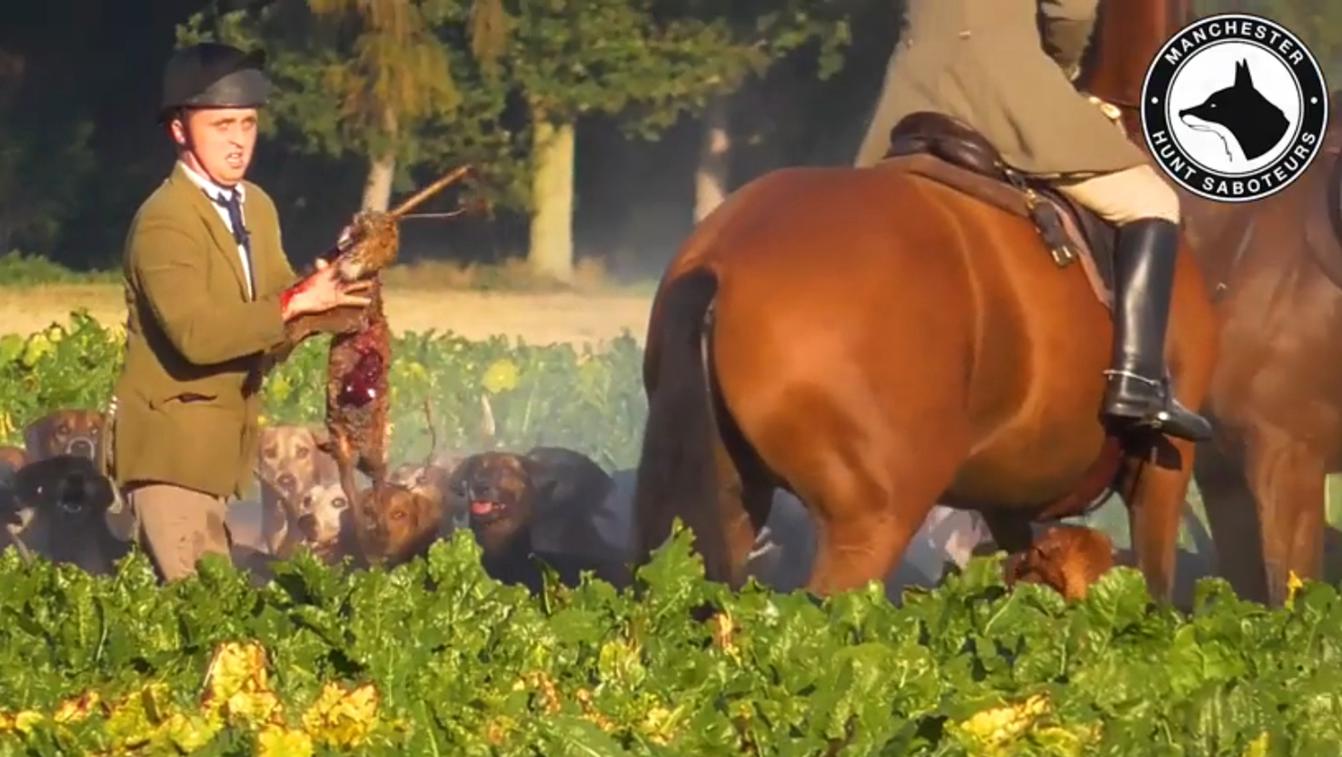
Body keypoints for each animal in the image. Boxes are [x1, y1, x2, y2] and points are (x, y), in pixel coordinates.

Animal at [628, 1, 1218, 603]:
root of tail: (719, 263)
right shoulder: (1162, 476)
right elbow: (1152, 593)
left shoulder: (1007, 501)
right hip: (870, 522)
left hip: (712, 509)